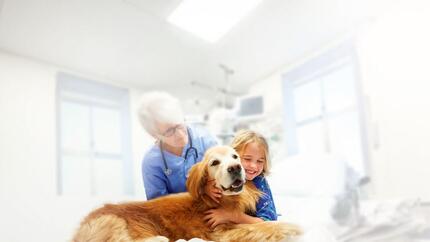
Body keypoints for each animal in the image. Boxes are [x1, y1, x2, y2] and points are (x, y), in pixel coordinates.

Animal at [72, 146, 300, 242]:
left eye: (235, 156)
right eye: (214, 162)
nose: (236, 168)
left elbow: (264, 222)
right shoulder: (220, 232)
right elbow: (266, 225)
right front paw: (294, 227)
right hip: (116, 224)